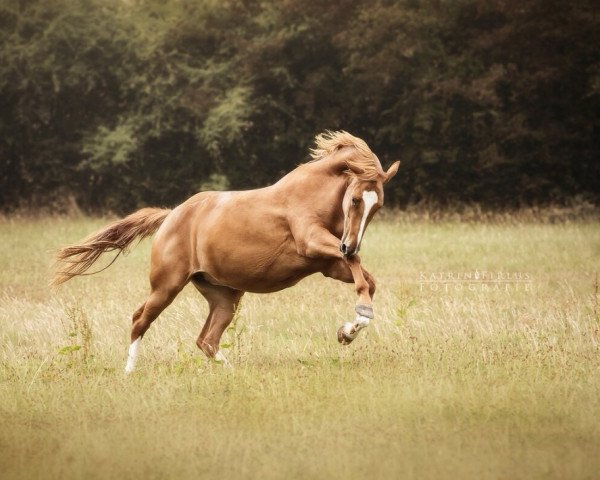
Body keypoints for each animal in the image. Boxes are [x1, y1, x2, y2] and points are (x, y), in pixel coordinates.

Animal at [51, 131, 398, 372]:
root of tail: (170, 216)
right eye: (356, 199)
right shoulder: (312, 241)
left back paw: (233, 372)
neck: (310, 193)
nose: (349, 243)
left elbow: (366, 280)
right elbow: (359, 269)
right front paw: (355, 322)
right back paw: (129, 372)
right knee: (140, 320)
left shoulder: (327, 263)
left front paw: (348, 331)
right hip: (166, 286)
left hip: (223, 296)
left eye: (378, 205)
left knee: (206, 340)